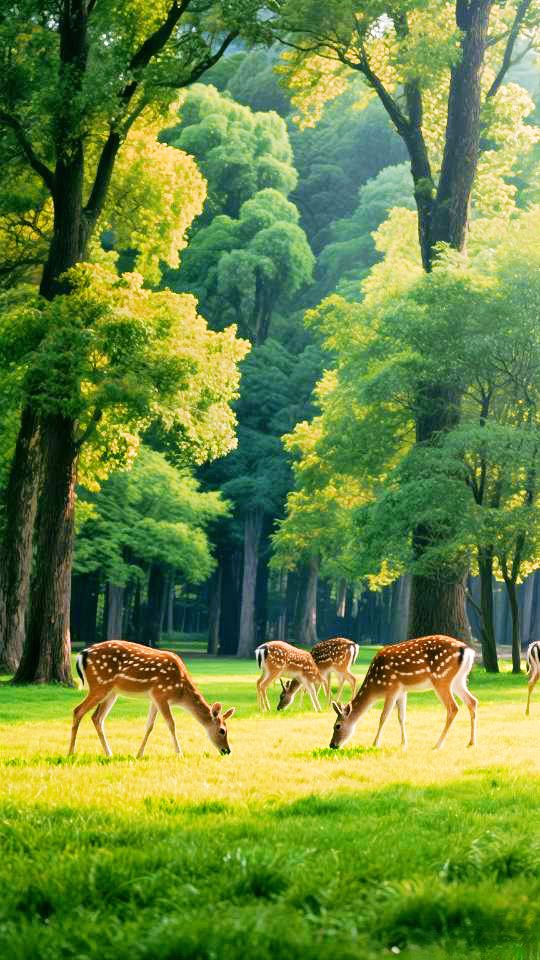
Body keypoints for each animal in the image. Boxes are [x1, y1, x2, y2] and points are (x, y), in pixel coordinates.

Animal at [68, 640, 236, 758]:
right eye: (222, 730)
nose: (227, 750)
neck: (180, 693)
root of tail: (83, 654)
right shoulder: (161, 694)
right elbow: (171, 724)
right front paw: (179, 753)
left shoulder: (154, 698)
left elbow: (149, 725)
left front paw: (139, 754)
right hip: (100, 685)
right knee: (78, 710)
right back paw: (71, 753)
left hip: (111, 692)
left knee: (97, 717)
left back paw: (109, 753)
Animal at [329, 635, 477, 751]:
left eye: (337, 726)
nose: (332, 745)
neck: (376, 685)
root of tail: (467, 650)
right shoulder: (402, 691)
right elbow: (401, 717)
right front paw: (403, 743)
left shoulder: (392, 688)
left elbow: (383, 717)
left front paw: (375, 743)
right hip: (458, 680)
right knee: (472, 701)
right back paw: (471, 743)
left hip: (441, 679)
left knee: (453, 707)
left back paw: (437, 744)